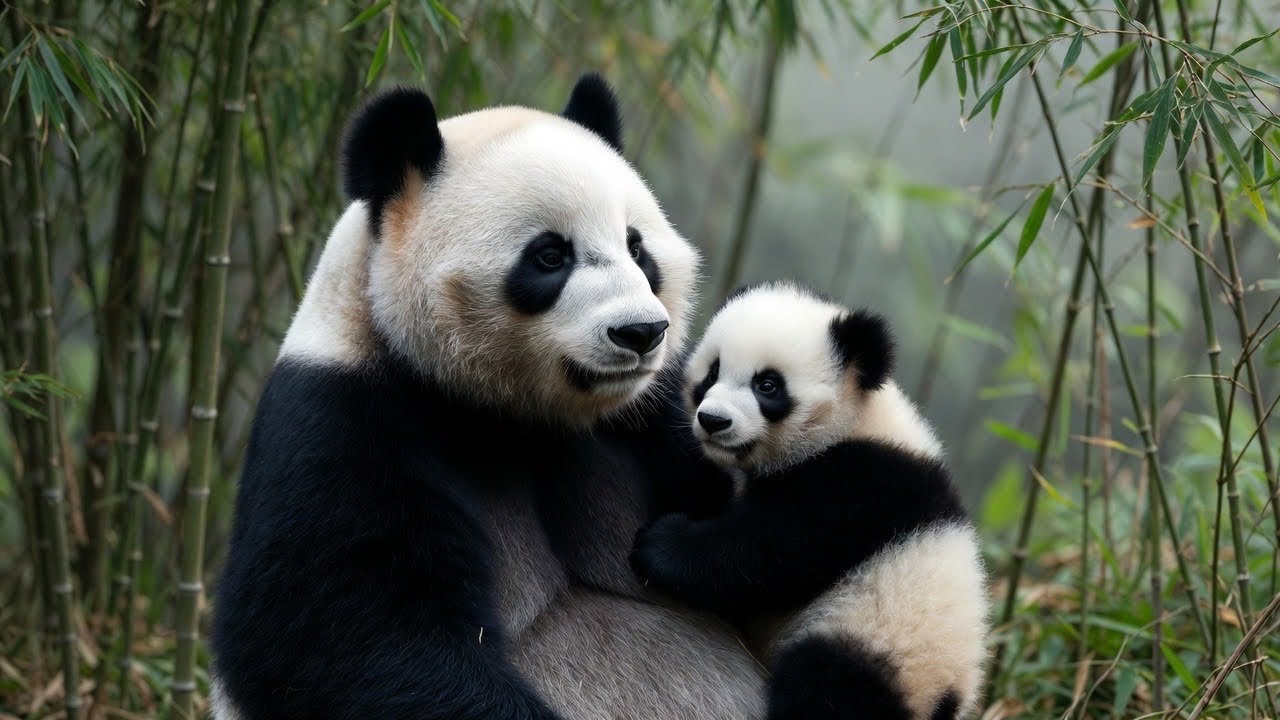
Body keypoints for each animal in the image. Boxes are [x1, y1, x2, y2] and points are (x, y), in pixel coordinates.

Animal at [209, 75, 768, 719]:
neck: (511, 413)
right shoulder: (337, 425)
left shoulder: (660, 418)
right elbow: (351, 643)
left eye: (637, 249)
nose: (641, 332)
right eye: (550, 255)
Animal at [630, 282, 989, 720]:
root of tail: (943, 699)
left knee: (826, 689)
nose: (713, 421)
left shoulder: (864, 480)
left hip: (880, 639)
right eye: (712, 372)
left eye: (768, 385)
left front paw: (662, 544)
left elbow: (774, 549)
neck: (852, 419)